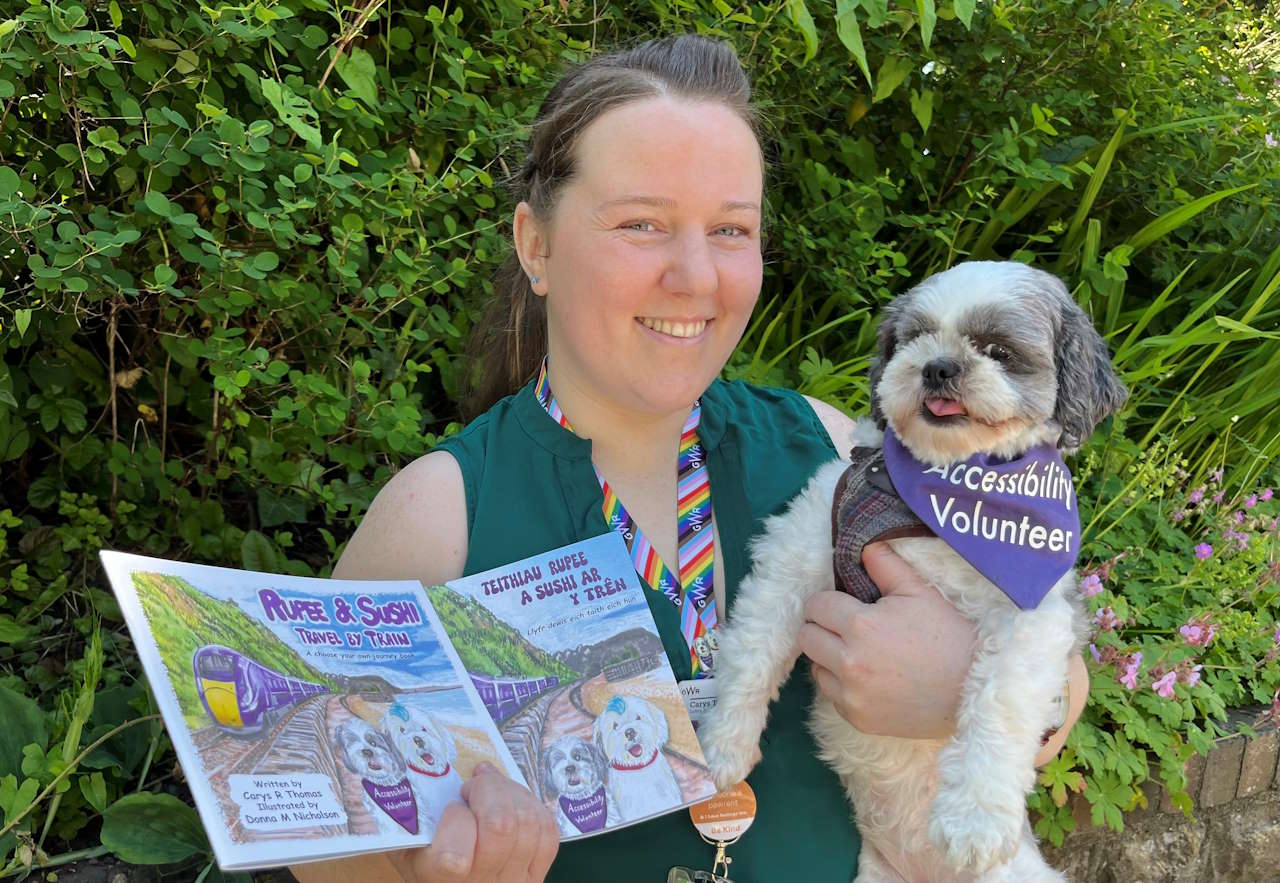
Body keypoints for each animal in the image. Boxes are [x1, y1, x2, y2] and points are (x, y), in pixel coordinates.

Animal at [701, 261, 1131, 880]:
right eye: (917, 337)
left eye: (998, 350)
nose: (939, 365)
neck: (939, 491)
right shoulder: (798, 552)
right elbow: (754, 650)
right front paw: (724, 745)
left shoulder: (1036, 612)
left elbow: (1002, 698)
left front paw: (975, 819)